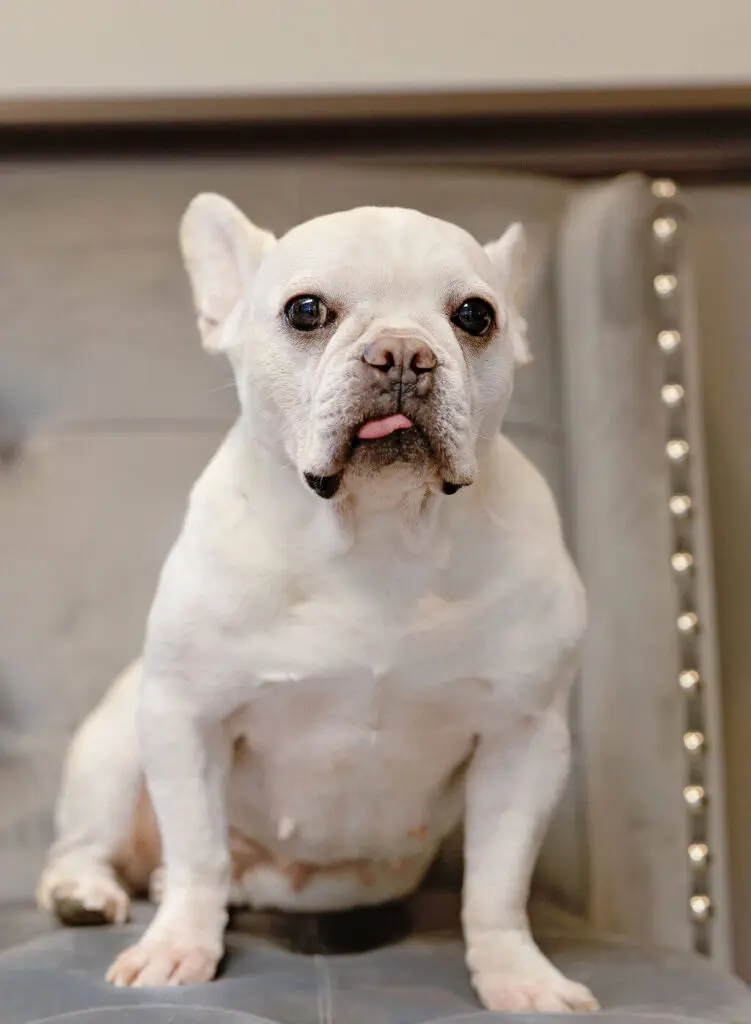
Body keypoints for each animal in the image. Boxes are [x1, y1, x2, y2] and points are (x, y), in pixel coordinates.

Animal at [36, 195, 598, 1011]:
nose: (402, 353)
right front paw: (177, 947)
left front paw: (518, 975)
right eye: (306, 311)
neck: (376, 532)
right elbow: (199, 848)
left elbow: (497, 883)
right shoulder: (186, 716)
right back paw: (87, 893)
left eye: (475, 315)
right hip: (111, 751)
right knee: (95, 849)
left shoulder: (523, 738)